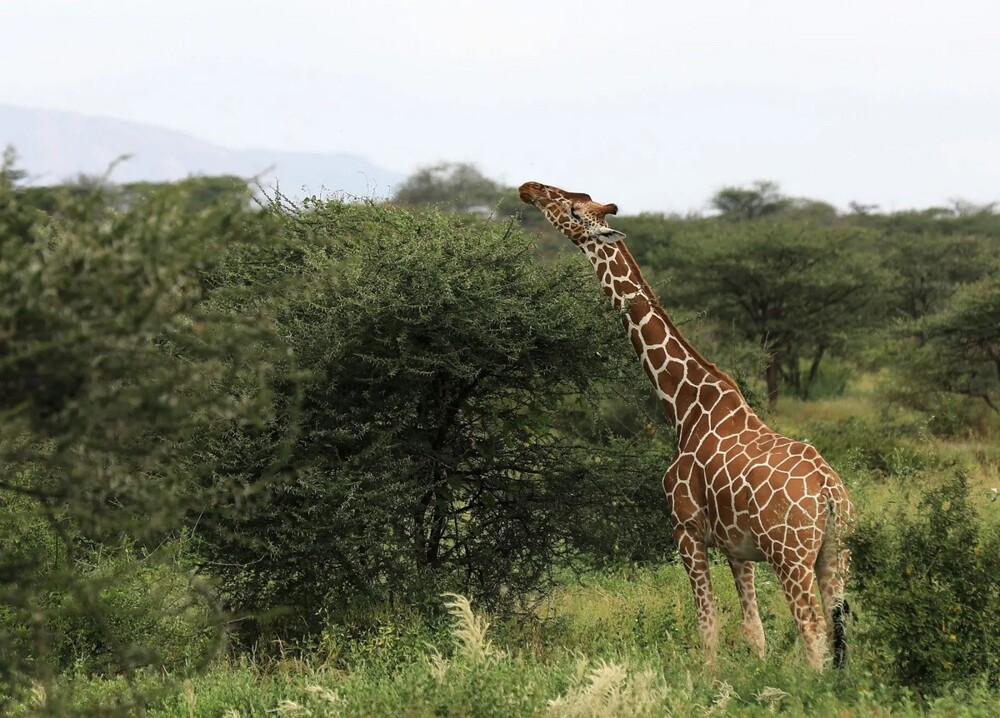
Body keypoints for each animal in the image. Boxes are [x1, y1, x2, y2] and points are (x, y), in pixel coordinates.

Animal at [520, 183, 856, 672]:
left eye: (573, 210)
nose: (528, 190)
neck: (685, 408)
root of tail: (830, 493)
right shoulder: (737, 547)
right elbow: (754, 632)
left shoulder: (685, 529)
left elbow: (707, 627)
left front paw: (710, 677)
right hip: (835, 552)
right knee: (838, 628)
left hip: (789, 554)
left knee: (811, 627)